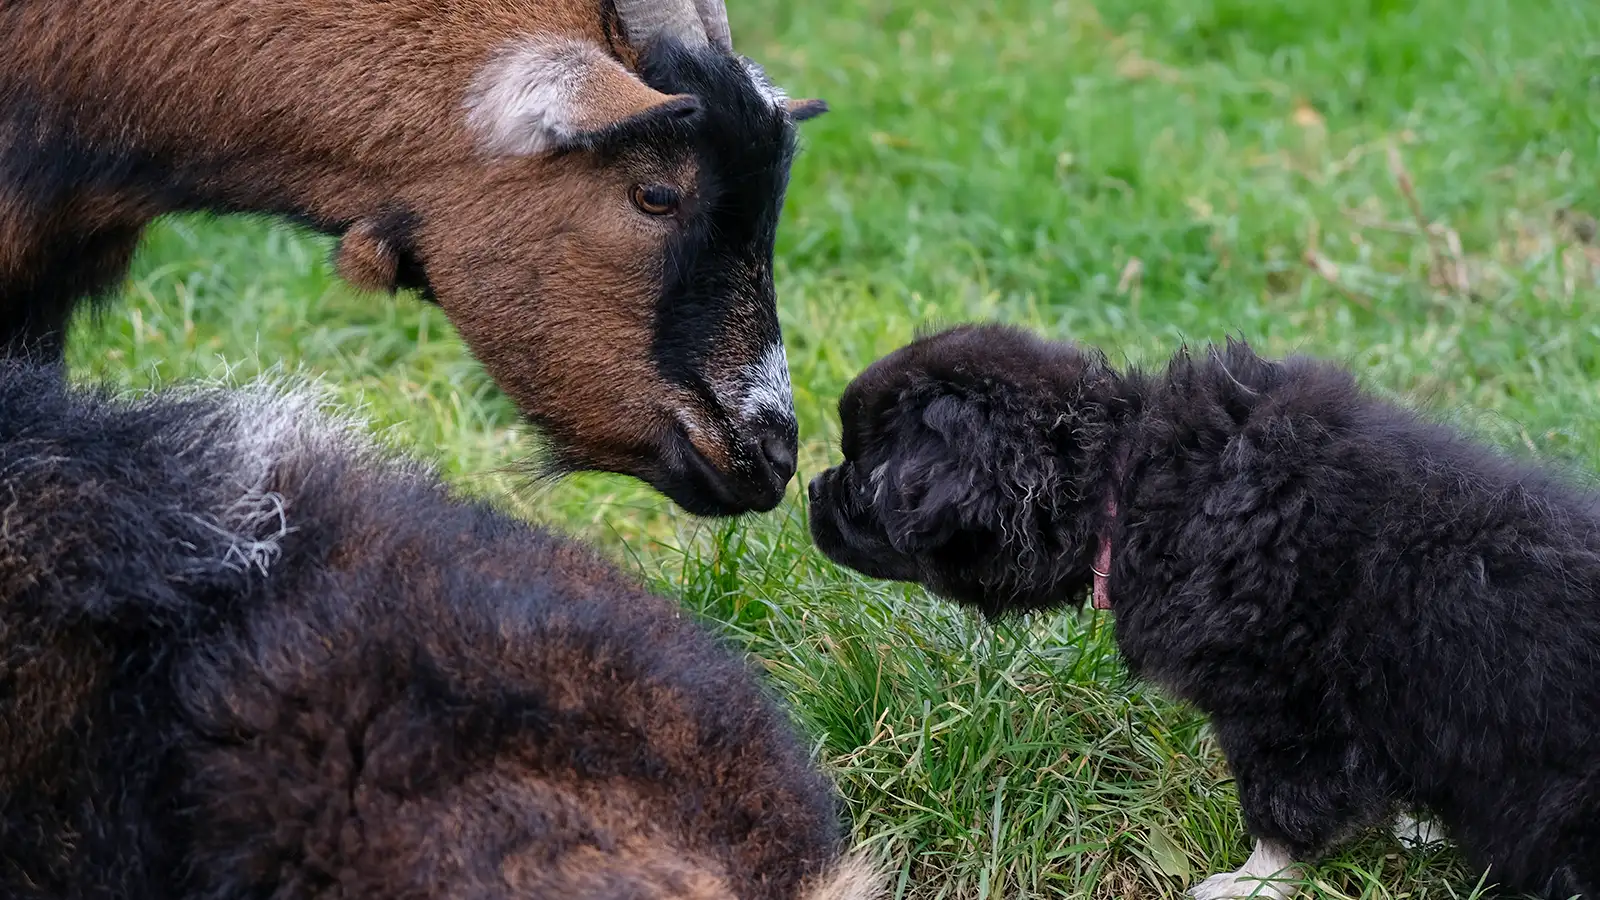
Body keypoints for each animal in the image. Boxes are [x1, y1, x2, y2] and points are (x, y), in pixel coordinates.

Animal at [812, 321, 1600, 896]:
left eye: (864, 473)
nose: (815, 489)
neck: (1127, 479)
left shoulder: (1282, 709)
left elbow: (1284, 810)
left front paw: (1252, 883)